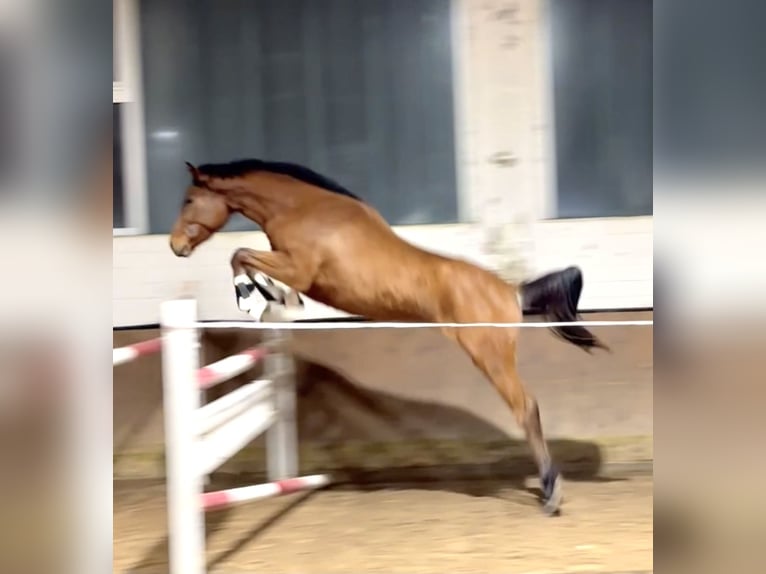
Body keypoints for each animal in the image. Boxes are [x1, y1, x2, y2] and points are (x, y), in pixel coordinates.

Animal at [169, 158, 609, 515]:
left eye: (189, 200)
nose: (176, 246)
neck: (304, 209)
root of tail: (510, 293)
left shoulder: (298, 269)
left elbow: (240, 255)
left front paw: (252, 298)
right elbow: (248, 261)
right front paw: (272, 300)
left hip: (489, 356)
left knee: (526, 408)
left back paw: (551, 493)